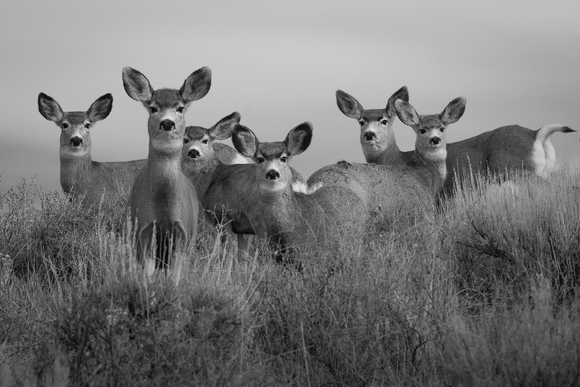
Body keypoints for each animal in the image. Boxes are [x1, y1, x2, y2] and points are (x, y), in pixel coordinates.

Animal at [123, 66, 213, 284]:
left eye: (180, 108)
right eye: (153, 108)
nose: (167, 123)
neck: (164, 209)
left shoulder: (183, 232)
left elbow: (175, 279)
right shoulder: (144, 230)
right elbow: (147, 277)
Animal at [308, 97, 466, 229]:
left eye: (442, 128)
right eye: (422, 130)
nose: (435, 139)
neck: (424, 176)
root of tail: (313, 183)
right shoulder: (418, 211)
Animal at [336, 89, 576, 196]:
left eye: (384, 121)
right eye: (361, 122)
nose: (369, 135)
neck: (399, 159)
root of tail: (536, 133)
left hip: (518, 171)